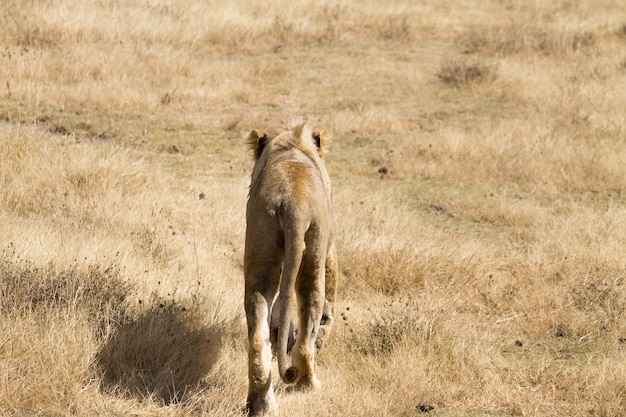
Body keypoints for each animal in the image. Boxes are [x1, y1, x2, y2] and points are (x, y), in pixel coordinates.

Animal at [241, 122, 336, 414]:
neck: (291, 142)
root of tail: (294, 202)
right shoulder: (330, 245)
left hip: (261, 246)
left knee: (258, 333)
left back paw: (261, 405)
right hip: (314, 250)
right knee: (309, 322)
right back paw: (308, 384)